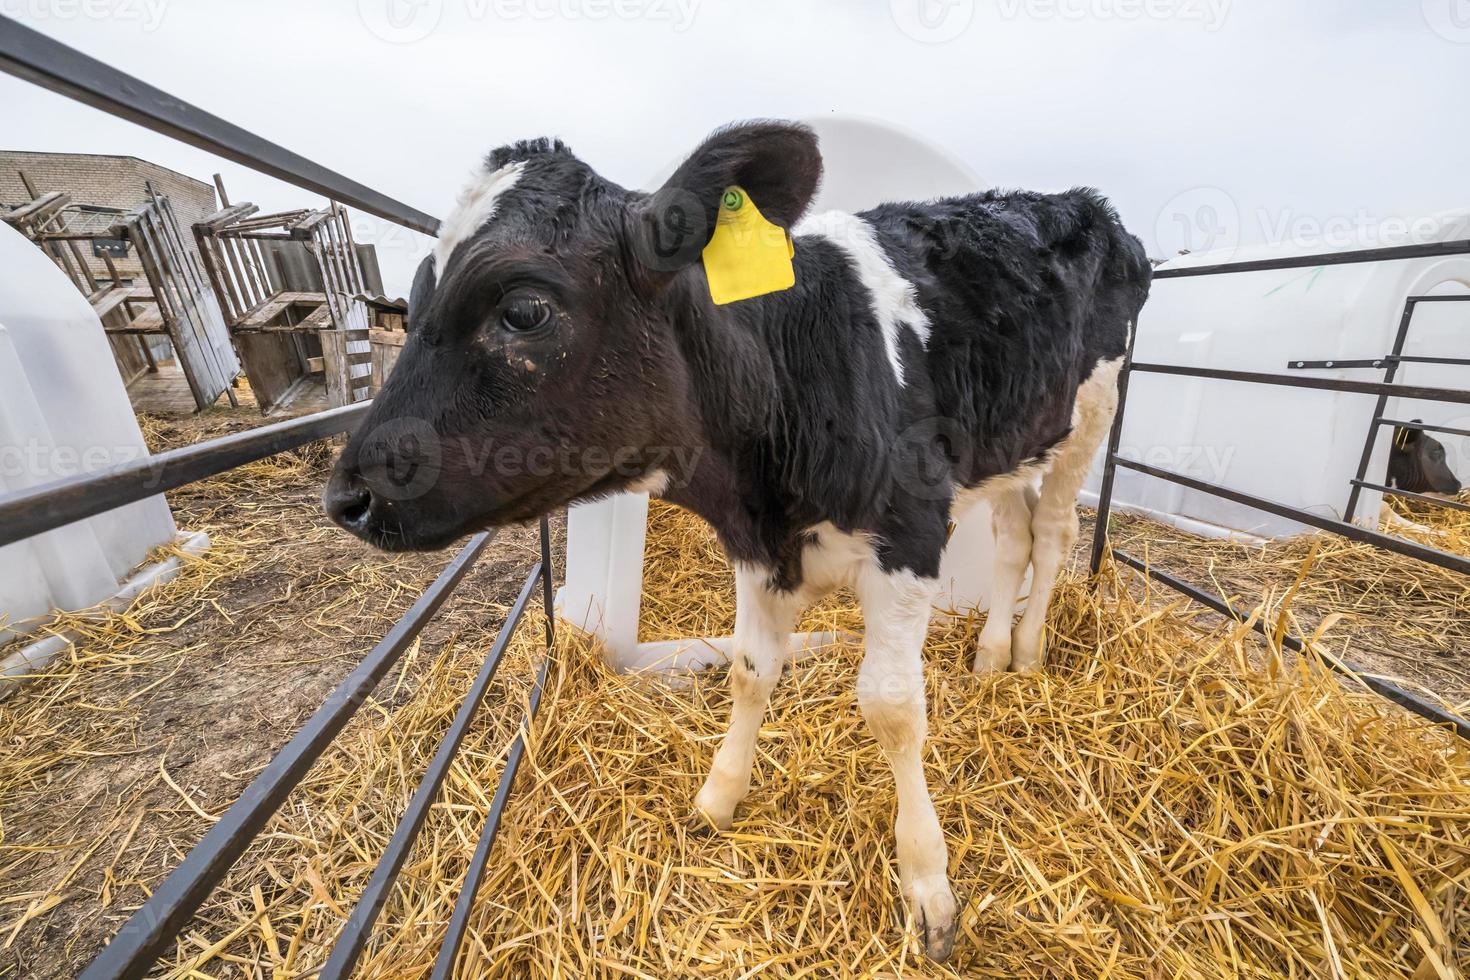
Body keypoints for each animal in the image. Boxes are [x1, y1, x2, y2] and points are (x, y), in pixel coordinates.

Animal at [327, 120, 1152, 957]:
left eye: (524, 310)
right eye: (415, 299)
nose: (348, 496)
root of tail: (1078, 203)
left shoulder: (911, 530)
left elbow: (891, 707)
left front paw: (927, 881)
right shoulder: (758, 548)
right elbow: (752, 671)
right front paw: (718, 797)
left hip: (1092, 408)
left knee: (1053, 531)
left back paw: (1029, 651)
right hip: (1014, 437)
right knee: (1014, 535)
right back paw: (988, 654)